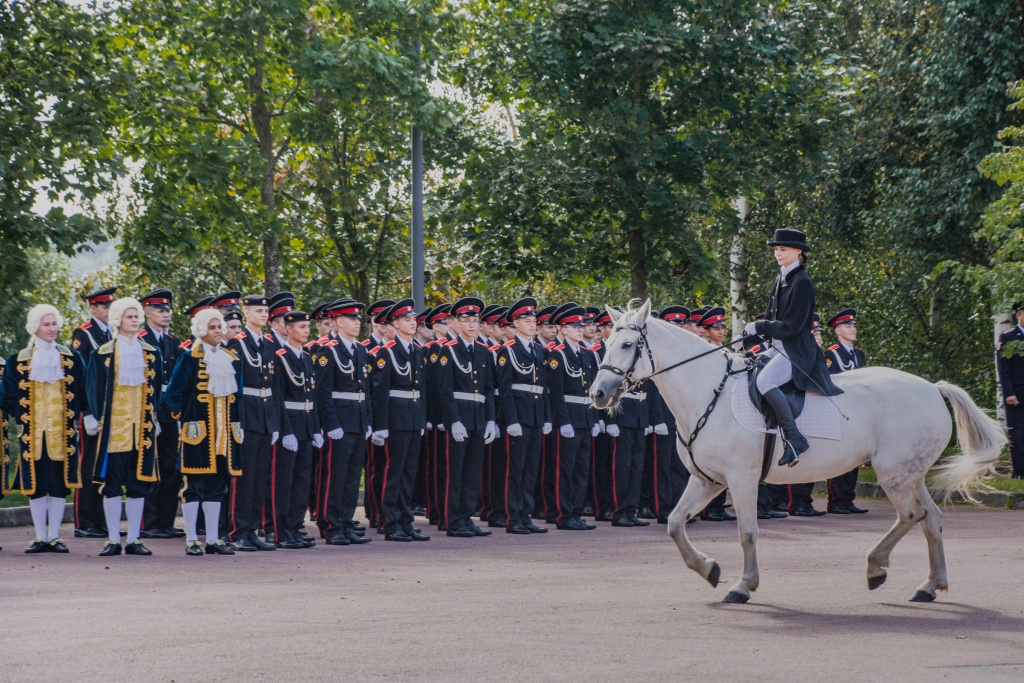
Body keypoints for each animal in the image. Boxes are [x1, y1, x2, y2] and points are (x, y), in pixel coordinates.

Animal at [589, 299, 1003, 602]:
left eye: (627, 345)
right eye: (605, 345)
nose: (597, 394)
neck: (708, 391)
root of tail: (932, 388)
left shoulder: (740, 479)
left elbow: (747, 532)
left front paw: (743, 586)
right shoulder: (707, 480)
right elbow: (675, 523)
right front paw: (709, 569)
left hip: (894, 474)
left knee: (913, 515)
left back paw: (877, 566)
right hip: (909, 474)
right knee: (930, 518)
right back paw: (929, 585)